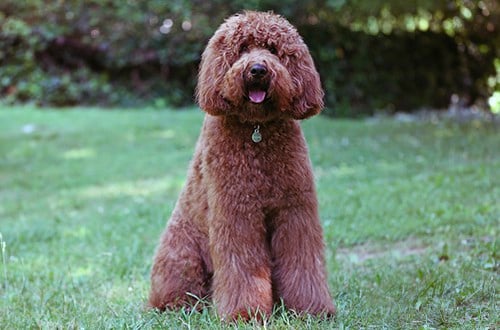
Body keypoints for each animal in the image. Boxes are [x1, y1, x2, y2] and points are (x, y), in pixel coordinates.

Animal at [148, 11, 336, 320]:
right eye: (242, 49)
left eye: (273, 49)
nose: (258, 69)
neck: (256, 129)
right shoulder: (237, 215)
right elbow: (243, 268)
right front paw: (244, 313)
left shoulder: (295, 212)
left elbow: (302, 262)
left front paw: (310, 308)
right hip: (181, 255)